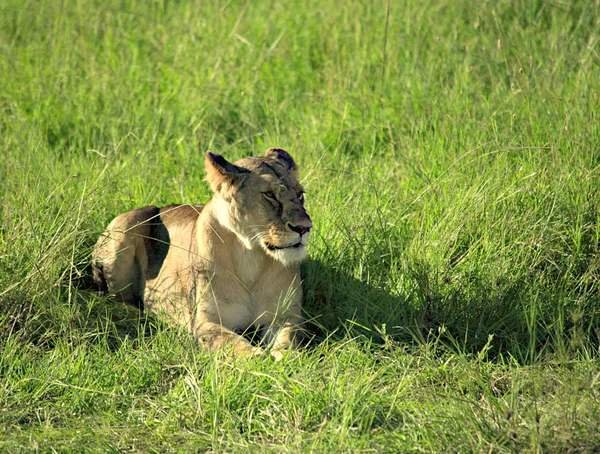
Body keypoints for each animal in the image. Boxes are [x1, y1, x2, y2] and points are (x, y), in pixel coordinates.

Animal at [92, 148, 314, 358]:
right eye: (269, 194)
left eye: (300, 194)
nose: (304, 228)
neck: (250, 256)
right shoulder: (204, 323)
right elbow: (232, 343)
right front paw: (258, 358)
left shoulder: (286, 316)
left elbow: (288, 338)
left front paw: (287, 358)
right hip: (126, 224)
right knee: (120, 300)